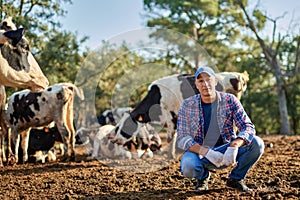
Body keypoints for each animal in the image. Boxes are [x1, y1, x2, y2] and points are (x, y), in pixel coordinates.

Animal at [112, 72, 248, 159]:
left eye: (127, 125)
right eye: (118, 126)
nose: (116, 140)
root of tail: (237, 75)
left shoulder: (171, 114)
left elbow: (170, 137)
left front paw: (170, 156)